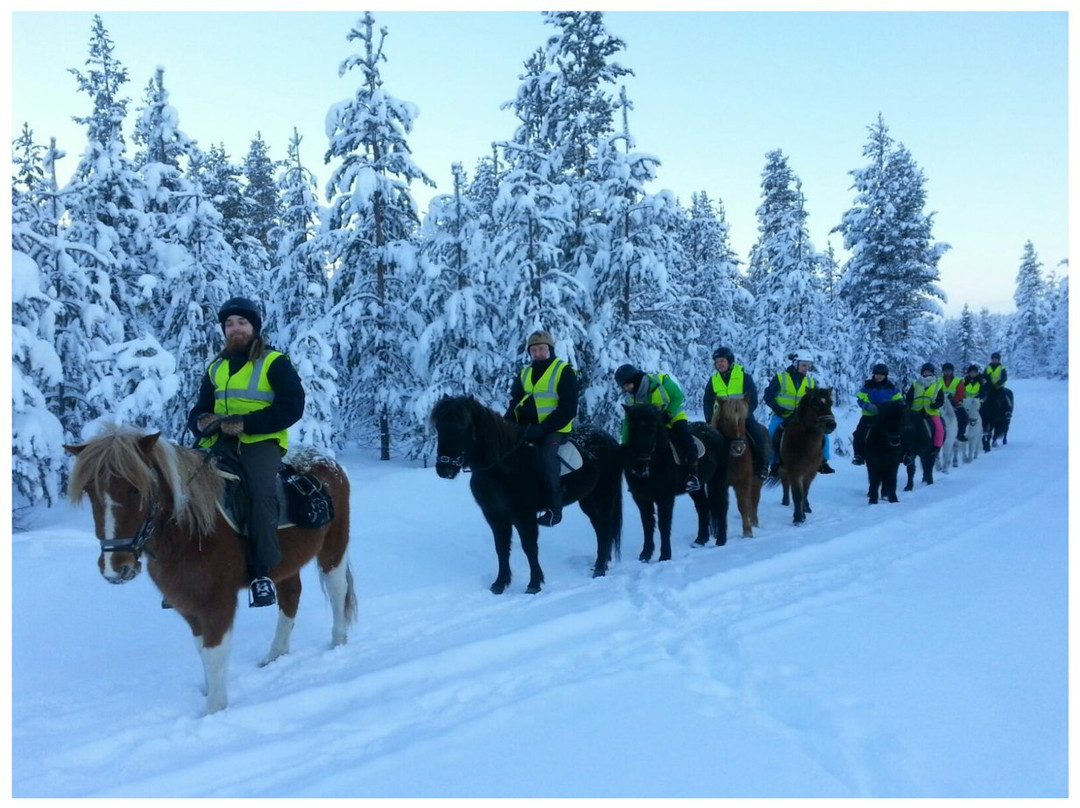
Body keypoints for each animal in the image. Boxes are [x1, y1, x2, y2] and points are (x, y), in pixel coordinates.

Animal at [64, 425, 354, 708]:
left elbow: (214, 654)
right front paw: (208, 691)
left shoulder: (217, 602)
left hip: (333, 549)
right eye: (90, 491)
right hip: (284, 565)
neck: (189, 532)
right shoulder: (189, 604)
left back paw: (338, 642)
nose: (115, 567)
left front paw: (215, 707)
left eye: (135, 488)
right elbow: (201, 650)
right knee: (290, 598)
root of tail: (327, 461)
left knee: (337, 589)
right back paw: (275, 655)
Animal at [425, 395, 622, 591]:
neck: (504, 465)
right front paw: (500, 584)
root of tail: (608, 438)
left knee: (604, 527)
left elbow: (529, 547)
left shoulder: (524, 515)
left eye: (461, 426)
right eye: (439, 427)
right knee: (599, 528)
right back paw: (600, 564)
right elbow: (501, 548)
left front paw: (534, 584)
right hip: (588, 499)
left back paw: (599, 569)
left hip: (604, 496)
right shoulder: (495, 515)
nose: (444, 469)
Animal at [622, 404, 730, 561]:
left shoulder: (665, 498)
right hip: (696, 488)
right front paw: (645, 554)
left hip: (717, 480)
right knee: (703, 507)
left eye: (653, 429)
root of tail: (717, 432)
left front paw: (665, 555)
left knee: (721, 506)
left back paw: (721, 540)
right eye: (632, 428)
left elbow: (664, 524)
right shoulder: (641, 499)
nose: (639, 465)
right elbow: (647, 524)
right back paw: (700, 540)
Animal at [712, 395, 764, 535]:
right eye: (726, 418)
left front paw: (747, 531)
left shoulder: (743, 482)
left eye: (743, 419)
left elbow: (743, 505)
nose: (738, 448)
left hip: (757, 480)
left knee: (754, 500)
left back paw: (754, 521)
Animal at [777, 388, 833, 527]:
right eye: (815, 406)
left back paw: (807, 508)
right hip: (782, 469)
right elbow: (798, 495)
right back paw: (785, 501)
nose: (831, 424)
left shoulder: (810, 473)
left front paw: (802, 515)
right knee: (785, 484)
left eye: (830, 404)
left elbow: (804, 494)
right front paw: (798, 519)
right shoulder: (795, 472)